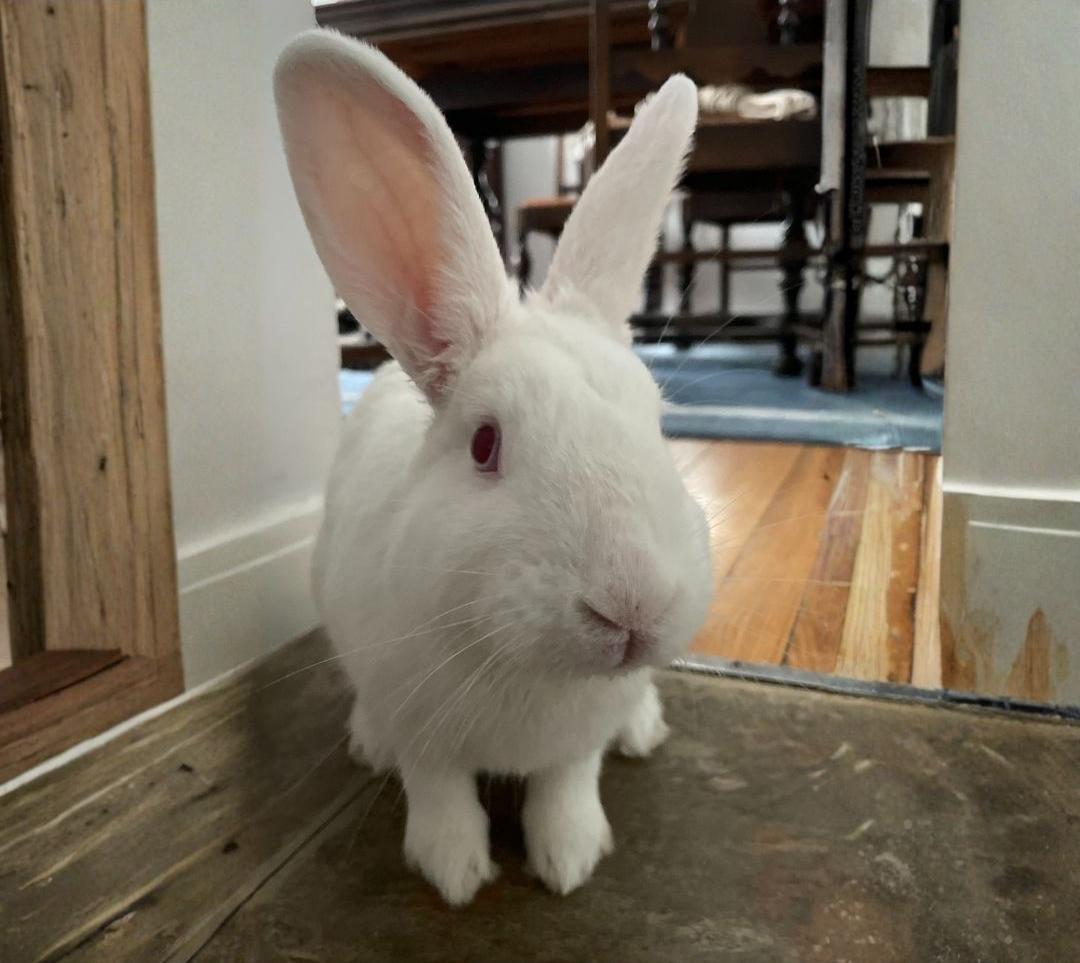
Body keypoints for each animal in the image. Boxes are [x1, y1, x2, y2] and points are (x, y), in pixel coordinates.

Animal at [274, 29, 712, 906]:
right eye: (485, 444)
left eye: (656, 422)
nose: (634, 604)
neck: (528, 668)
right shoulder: (422, 729)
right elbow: (437, 787)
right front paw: (455, 870)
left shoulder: (575, 744)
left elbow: (568, 783)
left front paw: (570, 856)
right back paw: (366, 741)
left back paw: (643, 730)